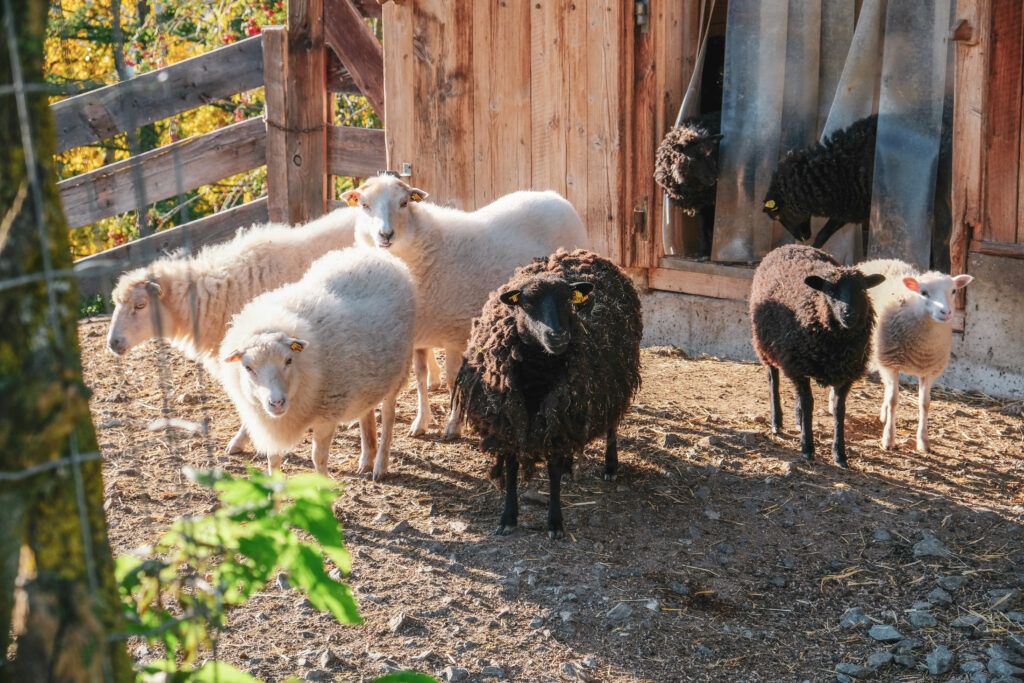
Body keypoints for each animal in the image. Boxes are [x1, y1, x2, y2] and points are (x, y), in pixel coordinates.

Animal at [218, 246, 416, 480]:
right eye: (248, 368)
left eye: (288, 360)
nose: (277, 403)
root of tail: (372, 253)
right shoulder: (274, 424)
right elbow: (273, 459)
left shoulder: (327, 415)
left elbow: (318, 457)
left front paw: (324, 486)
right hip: (369, 374)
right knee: (366, 412)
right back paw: (367, 458)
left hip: (398, 372)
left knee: (388, 416)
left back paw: (380, 465)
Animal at [341, 174, 588, 439]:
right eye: (364, 205)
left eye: (404, 203)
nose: (385, 234)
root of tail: (553, 195)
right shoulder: (419, 334)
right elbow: (421, 377)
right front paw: (421, 422)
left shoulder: (455, 333)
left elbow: (453, 379)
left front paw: (454, 425)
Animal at [451, 249, 642, 539]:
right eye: (527, 304)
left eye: (568, 301)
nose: (558, 336)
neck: (538, 371)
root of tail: (582, 252)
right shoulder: (511, 418)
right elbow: (511, 467)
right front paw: (508, 518)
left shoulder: (557, 415)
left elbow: (552, 471)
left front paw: (555, 523)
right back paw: (570, 466)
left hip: (610, 385)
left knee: (611, 425)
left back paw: (610, 467)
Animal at [749, 244, 885, 467]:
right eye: (830, 291)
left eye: (861, 289)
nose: (849, 314)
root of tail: (790, 245)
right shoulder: (797, 365)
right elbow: (808, 405)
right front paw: (807, 447)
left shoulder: (845, 374)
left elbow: (839, 410)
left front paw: (839, 454)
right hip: (765, 345)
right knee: (773, 380)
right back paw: (777, 421)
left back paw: (798, 421)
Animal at [856, 258, 973, 453]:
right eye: (923, 292)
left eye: (953, 291)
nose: (946, 312)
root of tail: (876, 261)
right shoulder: (891, 363)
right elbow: (894, 400)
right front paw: (888, 439)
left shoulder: (929, 370)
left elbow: (924, 404)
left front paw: (923, 442)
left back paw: (884, 414)